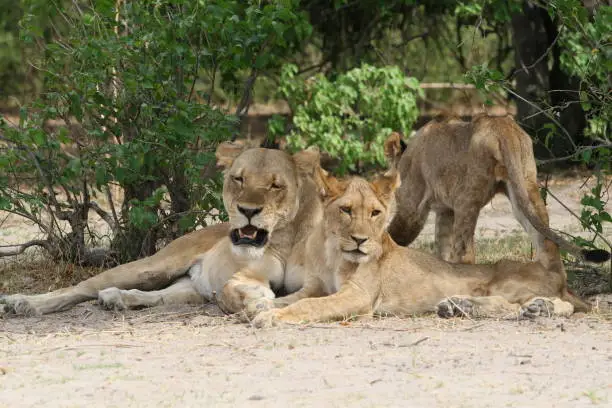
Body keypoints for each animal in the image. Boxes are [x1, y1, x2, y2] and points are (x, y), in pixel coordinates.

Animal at [0, 142, 326, 318]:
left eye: (275, 185)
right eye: (239, 179)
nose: (248, 211)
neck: (284, 239)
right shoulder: (241, 277)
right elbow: (233, 289)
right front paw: (257, 299)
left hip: (190, 290)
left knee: (158, 296)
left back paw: (116, 299)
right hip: (151, 265)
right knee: (78, 288)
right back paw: (23, 302)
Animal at [252, 167, 588, 326]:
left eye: (375, 213)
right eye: (346, 210)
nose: (361, 240)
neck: (332, 252)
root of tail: (555, 274)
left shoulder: (358, 296)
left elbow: (309, 306)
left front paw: (271, 317)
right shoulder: (314, 286)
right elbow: (289, 299)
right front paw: (261, 307)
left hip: (507, 282)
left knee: (554, 305)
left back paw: (541, 307)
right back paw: (457, 306)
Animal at [382, 115, 608, 266]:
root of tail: (503, 126)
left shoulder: (412, 207)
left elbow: (394, 237)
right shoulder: (445, 210)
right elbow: (441, 249)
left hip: (467, 197)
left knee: (465, 252)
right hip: (524, 186)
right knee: (545, 240)